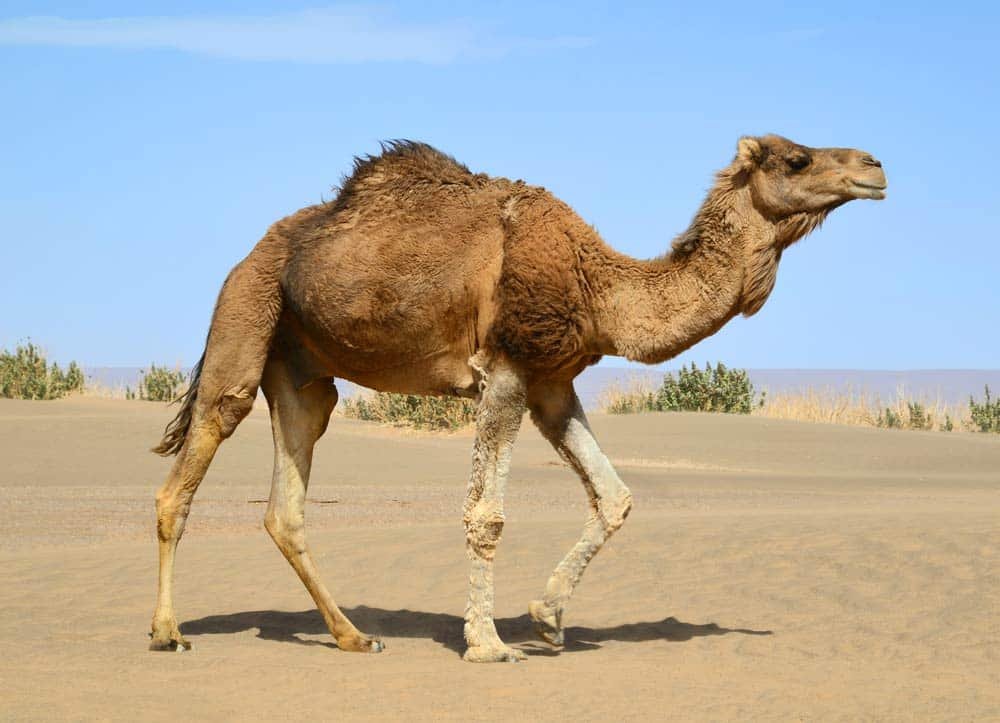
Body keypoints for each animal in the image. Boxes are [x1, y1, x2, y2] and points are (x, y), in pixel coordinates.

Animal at [146, 134, 884, 660]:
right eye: (798, 157)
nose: (875, 166)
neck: (599, 288)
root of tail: (249, 255)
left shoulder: (551, 381)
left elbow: (615, 496)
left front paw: (548, 619)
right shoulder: (502, 369)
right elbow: (487, 516)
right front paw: (488, 643)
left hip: (302, 372)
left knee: (286, 504)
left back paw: (354, 635)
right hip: (245, 314)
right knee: (190, 465)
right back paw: (168, 632)